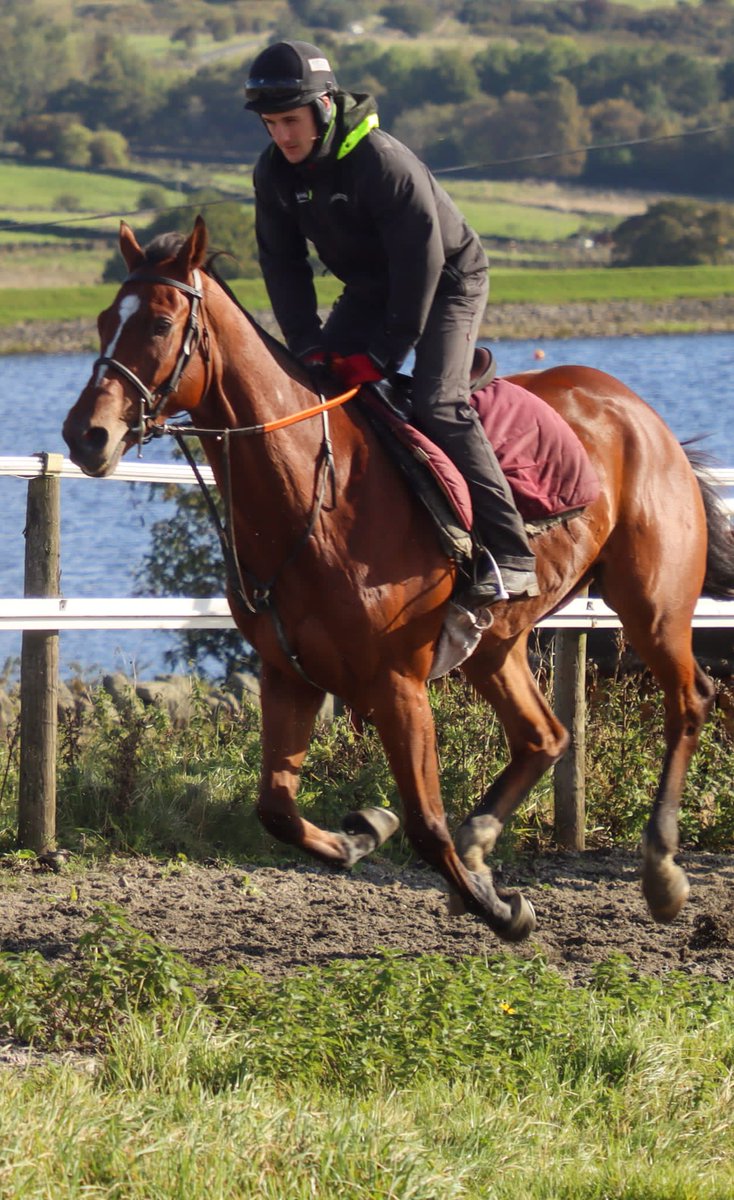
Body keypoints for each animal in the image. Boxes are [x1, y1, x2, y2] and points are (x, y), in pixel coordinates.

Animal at [61, 218, 734, 945]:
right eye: (103, 320)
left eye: (159, 323)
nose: (85, 434)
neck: (314, 496)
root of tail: (640, 412)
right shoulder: (289, 673)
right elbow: (277, 809)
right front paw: (365, 832)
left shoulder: (397, 683)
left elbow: (425, 827)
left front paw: (499, 908)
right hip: (497, 643)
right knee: (546, 736)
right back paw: (482, 838)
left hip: (651, 604)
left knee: (690, 700)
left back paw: (660, 869)